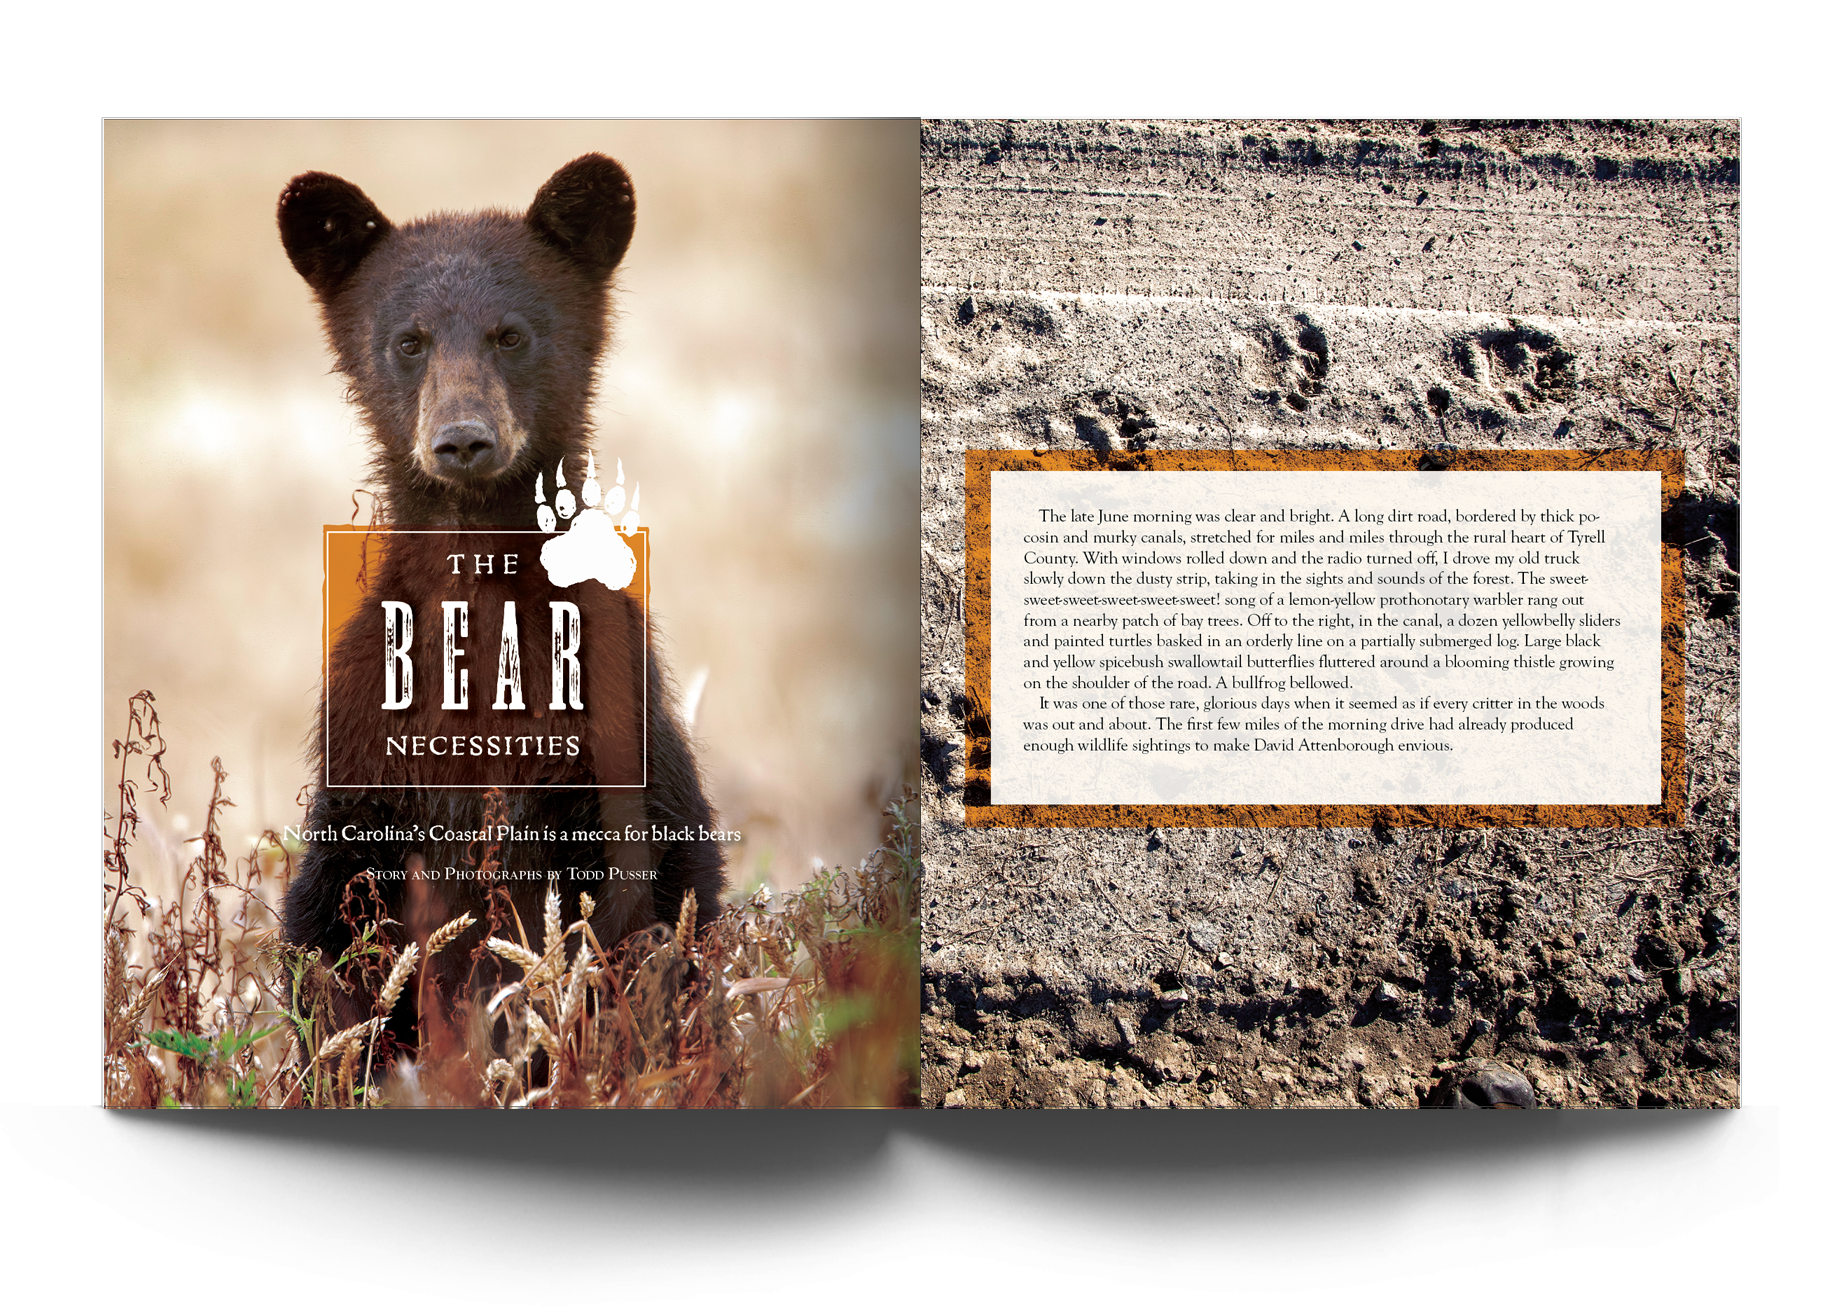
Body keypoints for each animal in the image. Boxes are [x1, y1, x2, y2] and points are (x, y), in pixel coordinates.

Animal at [276, 154, 724, 1051]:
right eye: (408, 340)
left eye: (511, 333)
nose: (462, 439)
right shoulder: (369, 738)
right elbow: (329, 922)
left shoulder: (609, 727)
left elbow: (651, 886)